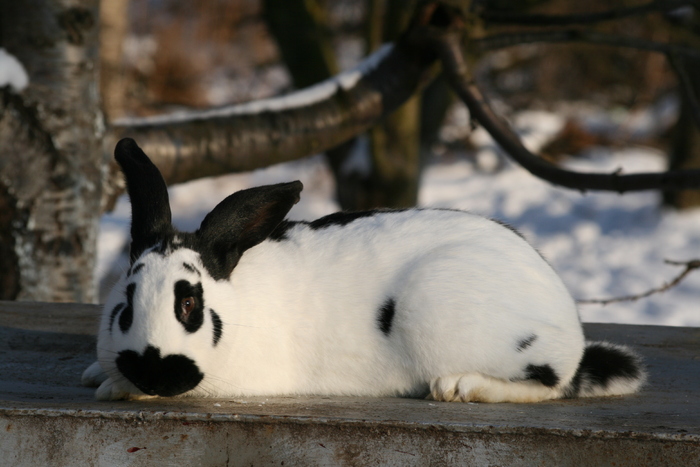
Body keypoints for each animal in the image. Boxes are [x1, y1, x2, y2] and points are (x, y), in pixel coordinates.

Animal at [85, 138, 648, 402]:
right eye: (124, 305)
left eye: (190, 304)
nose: (152, 368)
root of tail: (567, 327)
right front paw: (100, 372)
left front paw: (116, 387)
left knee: (548, 385)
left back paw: (459, 387)